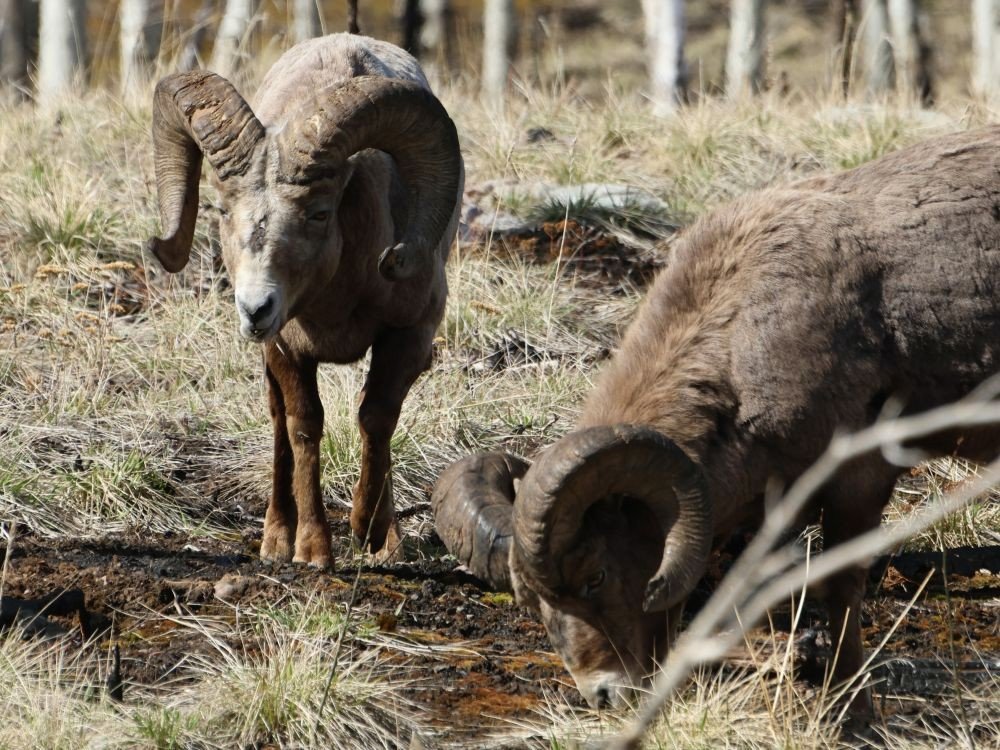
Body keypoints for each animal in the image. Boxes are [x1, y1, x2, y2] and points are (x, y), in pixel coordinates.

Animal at [146, 33, 463, 567]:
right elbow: (303, 427)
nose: (256, 309)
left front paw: (375, 535)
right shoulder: (286, 347)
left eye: (318, 213)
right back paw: (276, 539)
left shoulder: (408, 336)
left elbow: (377, 418)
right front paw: (312, 550)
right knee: (279, 425)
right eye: (224, 211)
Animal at [432, 125, 1000, 716]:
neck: (747, 341)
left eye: (597, 576)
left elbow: (840, 595)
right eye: (534, 604)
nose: (606, 695)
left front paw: (853, 713)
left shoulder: (858, 480)